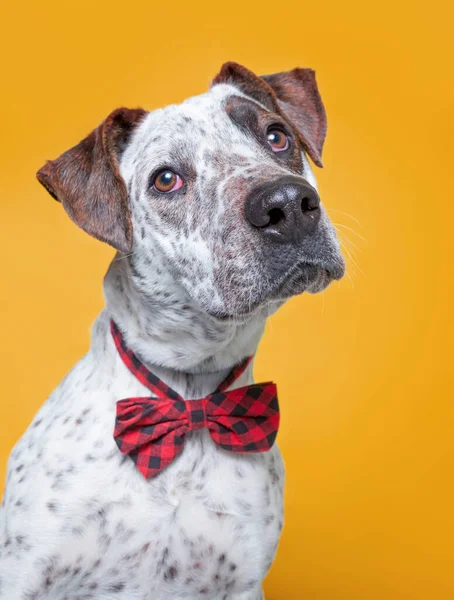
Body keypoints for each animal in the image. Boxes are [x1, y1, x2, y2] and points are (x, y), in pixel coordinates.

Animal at [0, 62, 344, 600]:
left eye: (277, 136)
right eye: (166, 179)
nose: (288, 203)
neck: (189, 398)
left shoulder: (243, 581)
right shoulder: (21, 576)